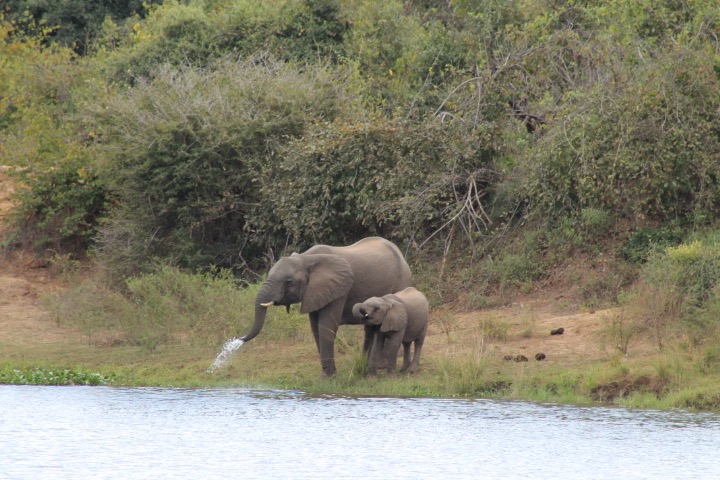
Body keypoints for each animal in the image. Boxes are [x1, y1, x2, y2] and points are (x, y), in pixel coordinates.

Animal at [240, 238, 410, 376]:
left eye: (288, 281)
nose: (238, 339)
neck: (306, 258)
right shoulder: (314, 293)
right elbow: (315, 327)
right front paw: (327, 374)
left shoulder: (338, 290)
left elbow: (326, 326)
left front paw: (329, 377)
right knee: (370, 329)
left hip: (400, 281)